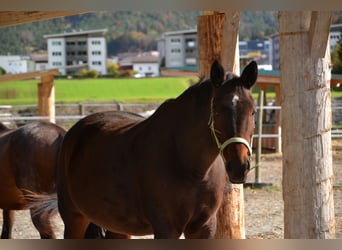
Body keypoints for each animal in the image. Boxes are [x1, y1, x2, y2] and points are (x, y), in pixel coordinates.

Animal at [38, 60, 256, 238]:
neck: (189, 166)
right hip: (74, 218)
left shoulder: (204, 228)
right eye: (217, 110)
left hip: (117, 226)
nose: (239, 166)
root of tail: (74, 132)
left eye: (253, 111)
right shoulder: (166, 229)